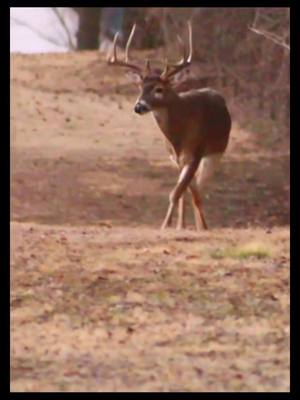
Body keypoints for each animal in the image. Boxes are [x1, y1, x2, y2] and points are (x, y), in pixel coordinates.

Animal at [108, 21, 232, 230]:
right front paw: (173, 225)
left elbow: (178, 192)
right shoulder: (176, 157)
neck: (179, 135)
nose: (138, 106)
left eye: (159, 89)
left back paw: (199, 225)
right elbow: (182, 192)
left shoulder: (197, 152)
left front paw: (167, 225)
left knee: (197, 188)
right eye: (140, 88)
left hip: (215, 152)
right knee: (191, 191)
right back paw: (183, 225)